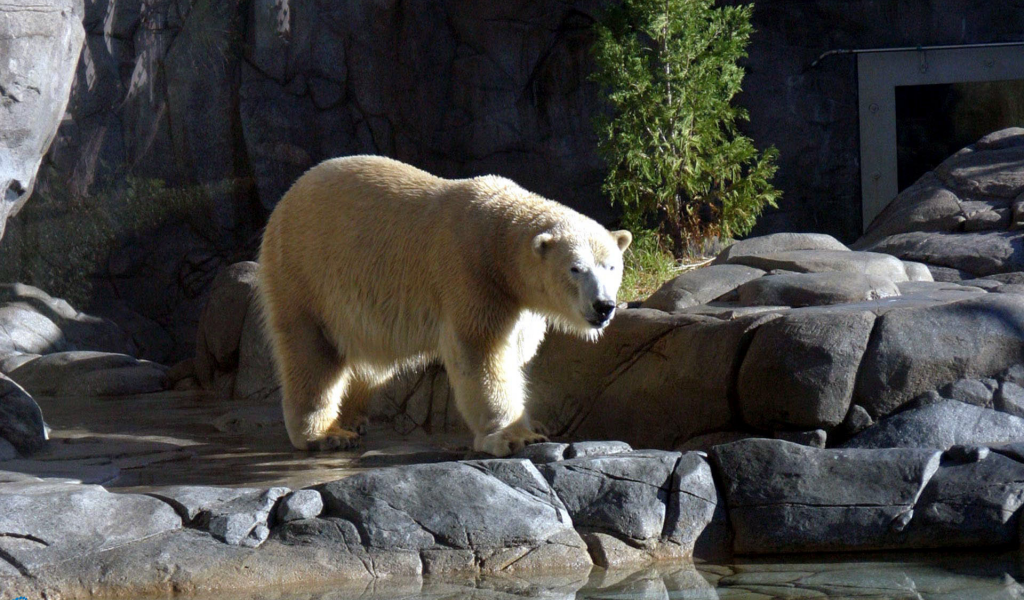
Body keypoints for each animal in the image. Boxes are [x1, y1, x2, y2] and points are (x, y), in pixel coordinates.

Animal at [256, 154, 630, 452]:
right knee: (312, 353)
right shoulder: (471, 274)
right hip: (304, 272)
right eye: (576, 269)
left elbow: (519, 351)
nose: (604, 306)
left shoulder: (519, 301)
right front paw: (515, 436)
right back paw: (326, 434)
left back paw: (354, 418)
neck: (497, 239)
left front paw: (535, 423)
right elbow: (481, 353)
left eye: (611, 266)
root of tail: (287, 198)